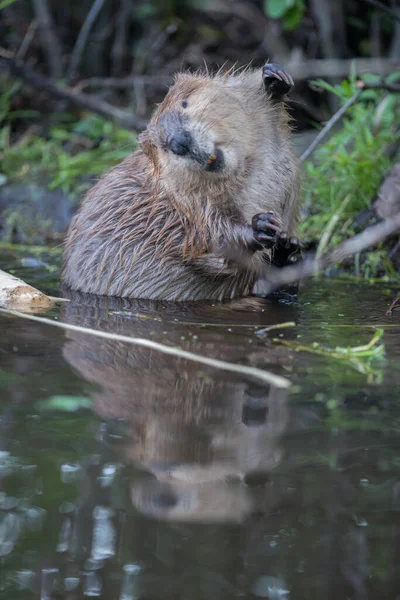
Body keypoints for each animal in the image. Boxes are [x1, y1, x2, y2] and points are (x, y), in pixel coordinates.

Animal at [61, 62, 300, 300]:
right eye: (161, 146)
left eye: (184, 103)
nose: (179, 142)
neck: (245, 170)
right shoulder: (186, 203)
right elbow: (210, 234)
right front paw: (261, 226)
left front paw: (274, 78)